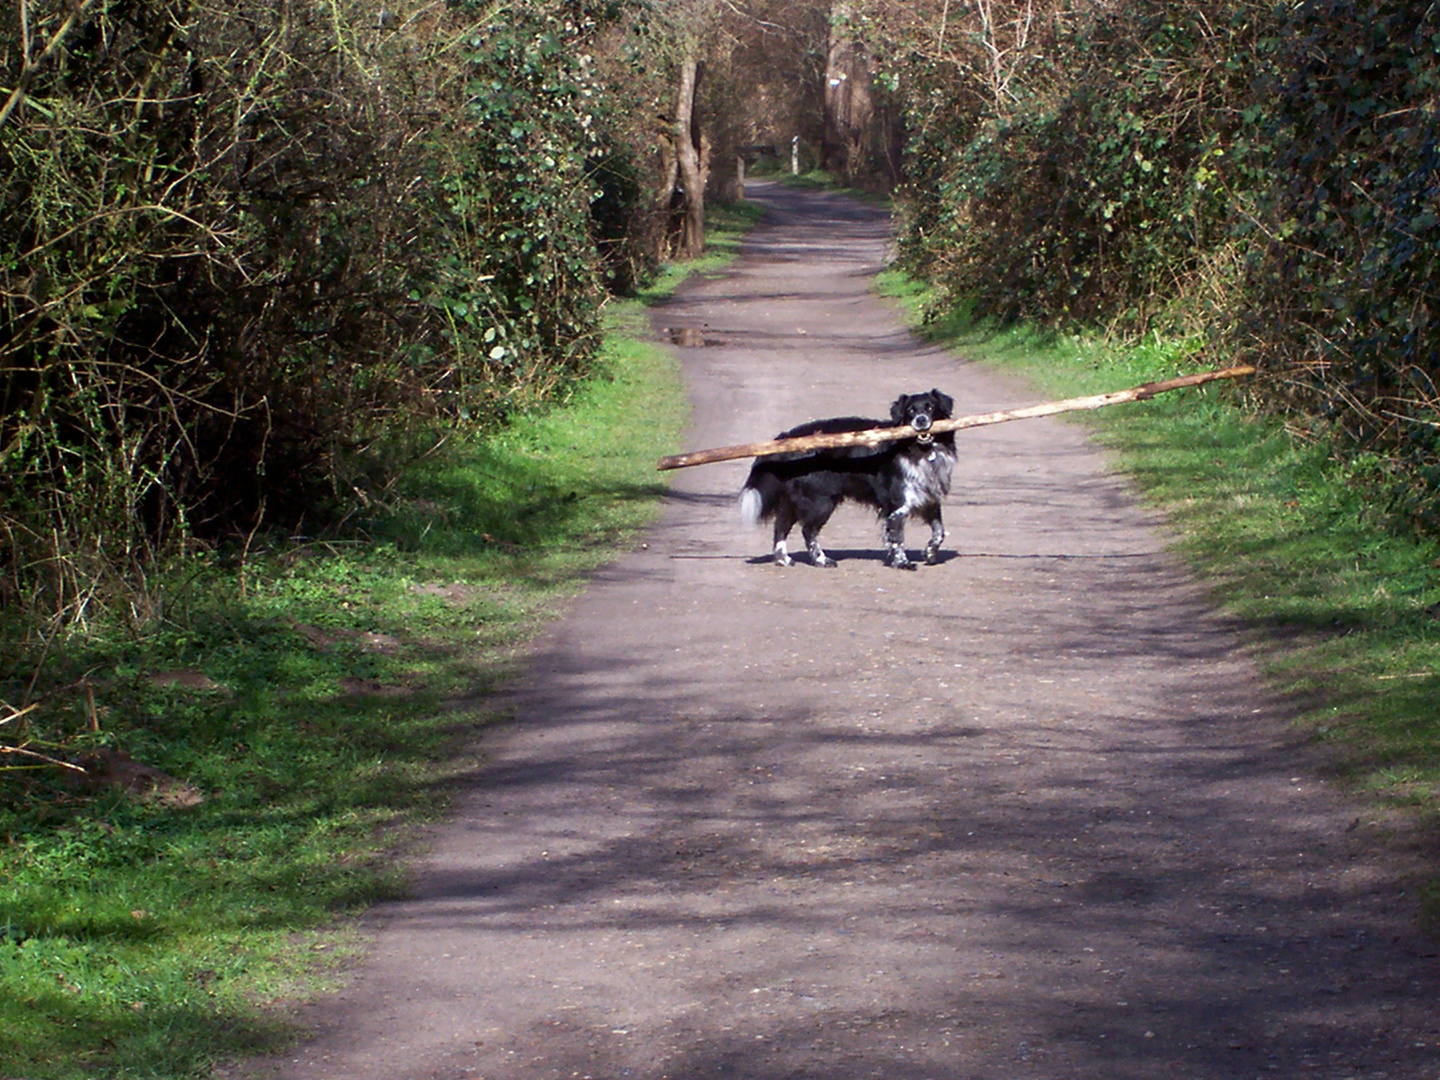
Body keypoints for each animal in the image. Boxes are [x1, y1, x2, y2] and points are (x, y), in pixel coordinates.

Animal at [743, 391, 956, 576]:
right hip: (820, 500)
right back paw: (821, 560)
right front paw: (902, 562)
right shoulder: (897, 505)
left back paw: (784, 559)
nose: (920, 420)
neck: (921, 451)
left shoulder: (929, 500)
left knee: (781, 526)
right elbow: (897, 538)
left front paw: (929, 553)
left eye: (930, 407)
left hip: (795, 500)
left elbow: (939, 532)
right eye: (911, 410)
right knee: (808, 530)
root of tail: (786, 438)